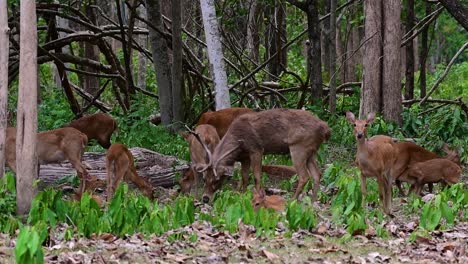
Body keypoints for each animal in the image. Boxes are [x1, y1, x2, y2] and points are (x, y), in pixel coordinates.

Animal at [194, 108, 330, 203]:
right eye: (204, 179)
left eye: (217, 180)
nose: (205, 198)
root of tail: (325, 128)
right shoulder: (245, 157)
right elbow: (244, 177)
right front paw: (243, 195)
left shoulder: (256, 149)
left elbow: (256, 176)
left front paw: (259, 197)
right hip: (311, 151)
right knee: (317, 174)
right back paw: (312, 202)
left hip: (299, 147)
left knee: (304, 176)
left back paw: (292, 200)